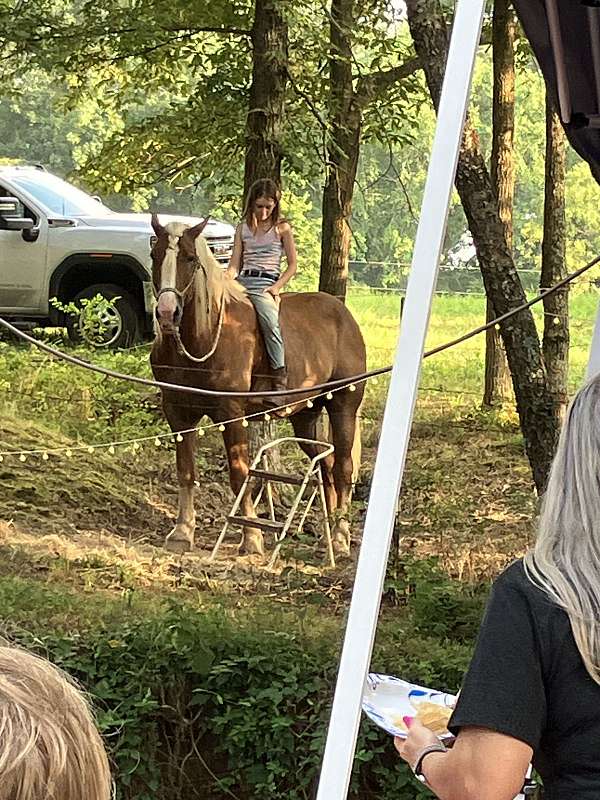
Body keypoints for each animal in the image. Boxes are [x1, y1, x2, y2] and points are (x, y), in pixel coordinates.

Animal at [150, 216, 366, 560]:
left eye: (190, 258)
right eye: (155, 255)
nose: (167, 313)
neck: (203, 339)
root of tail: (344, 315)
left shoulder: (231, 414)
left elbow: (240, 475)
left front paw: (251, 538)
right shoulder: (178, 413)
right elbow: (186, 472)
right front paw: (182, 532)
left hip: (344, 404)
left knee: (343, 469)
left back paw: (341, 538)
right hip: (305, 415)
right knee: (326, 467)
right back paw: (326, 538)